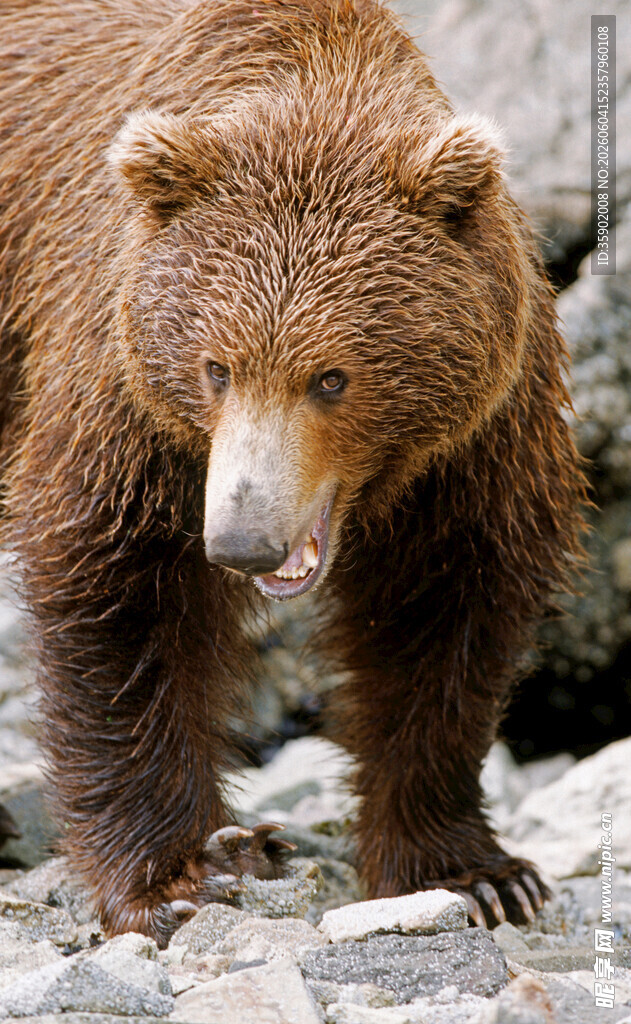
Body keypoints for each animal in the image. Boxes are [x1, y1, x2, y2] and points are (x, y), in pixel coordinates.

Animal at [0, 0, 585, 945]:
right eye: (216, 367)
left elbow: (442, 619)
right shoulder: (123, 390)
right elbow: (117, 597)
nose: (242, 538)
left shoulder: (474, 438)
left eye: (331, 377)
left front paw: (474, 874)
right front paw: (177, 876)